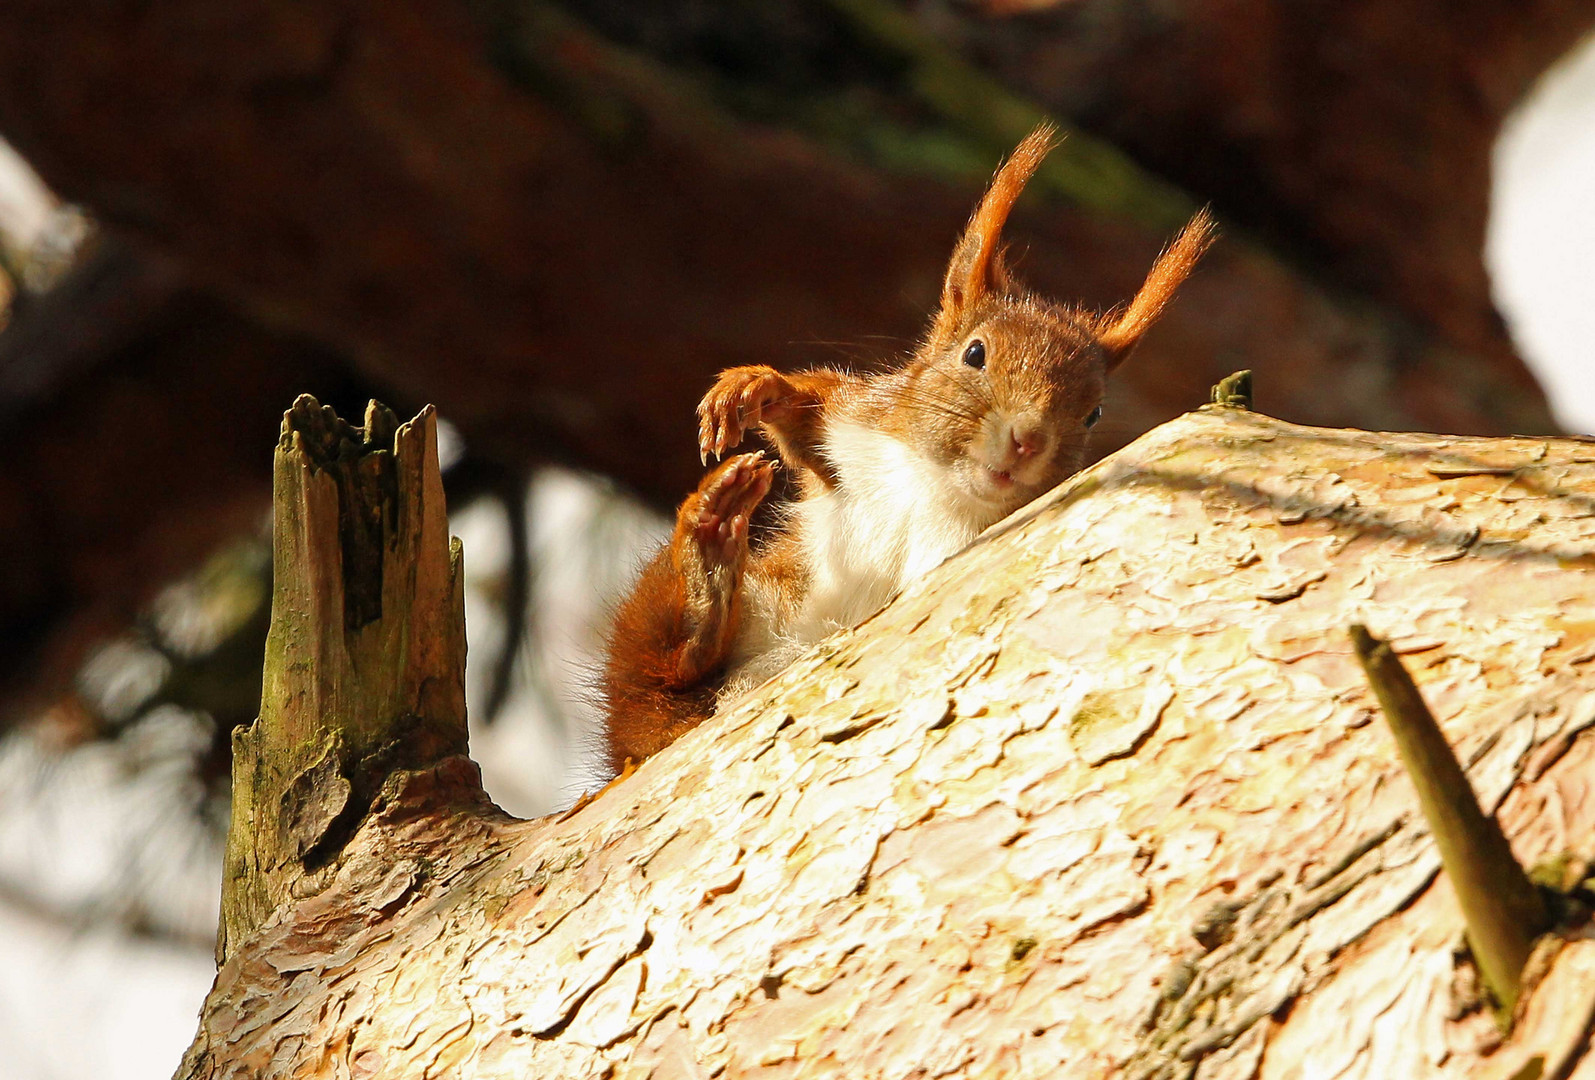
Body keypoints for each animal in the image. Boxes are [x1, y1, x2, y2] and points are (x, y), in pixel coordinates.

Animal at [599, 124, 1205, 775]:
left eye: (1094, 413)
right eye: (974, 353)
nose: (1028, 438)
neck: (937, 490)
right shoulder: (858, 429)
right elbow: (813, 419)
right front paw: (756, 388)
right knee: (650, 679)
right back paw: (705, 565)